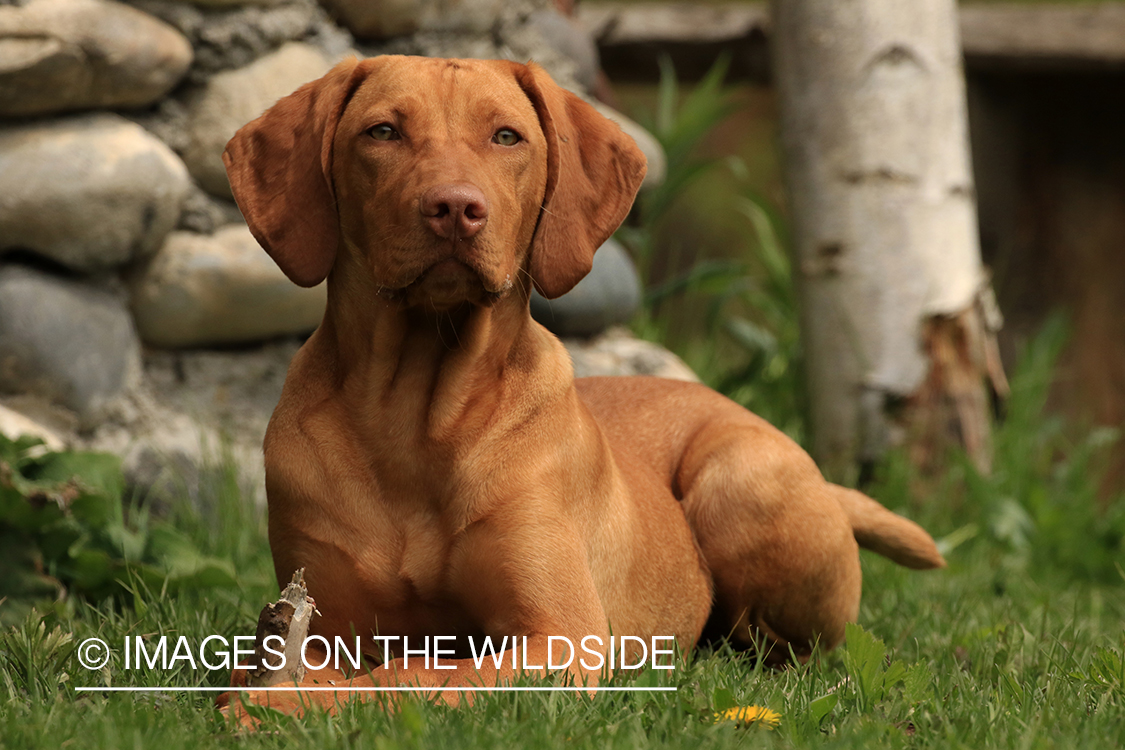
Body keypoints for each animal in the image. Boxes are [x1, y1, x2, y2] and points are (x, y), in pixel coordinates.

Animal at [217, 55, 940, 719]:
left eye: (506, 136)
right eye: (383, 131)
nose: (455, 209)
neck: (414, 409)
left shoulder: (558, 635)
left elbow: (414, 675)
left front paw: (275, 703)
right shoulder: (320, 621)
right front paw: (264, 693)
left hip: (740, 488)